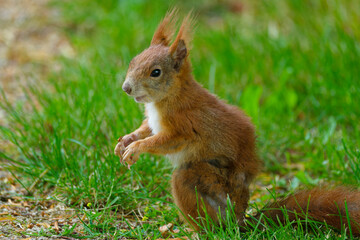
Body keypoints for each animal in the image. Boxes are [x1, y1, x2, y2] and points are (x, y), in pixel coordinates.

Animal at [114, 9, 360, 236]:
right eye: (133, 61)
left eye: (156, 72)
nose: (126, 88)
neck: (170, 97)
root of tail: (242, 218)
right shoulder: (153, 121)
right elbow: (146, 129)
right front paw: (125, 141)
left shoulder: (185, 126)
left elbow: (165, 141)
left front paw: (136, 148)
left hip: (212, 181)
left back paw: (204, 231)